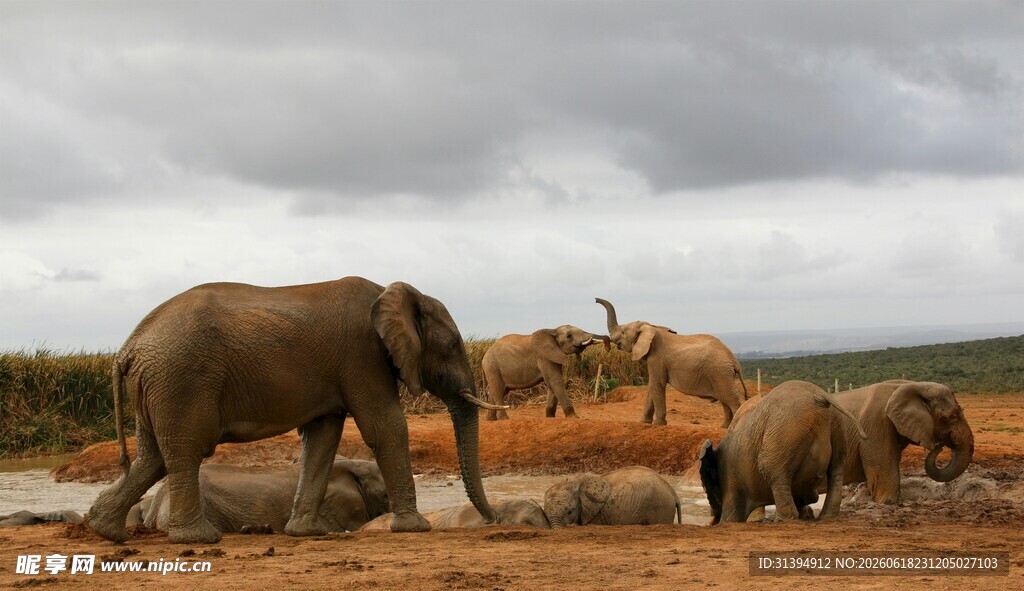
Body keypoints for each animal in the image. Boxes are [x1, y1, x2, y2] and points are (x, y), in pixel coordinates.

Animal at [543, 466, 682, 527]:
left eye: (570, 512)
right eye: (545, 514)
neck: (575, 481)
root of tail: (673, 492)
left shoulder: (596, 513)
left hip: (660, 507)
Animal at [596, 298, 748, 427]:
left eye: (623, 332)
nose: (596, 299)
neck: (652, 327)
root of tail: (734, 360)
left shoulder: (657, 358)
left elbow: (657, 384)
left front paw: (658, 424)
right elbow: (652, 386)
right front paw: (644, 422)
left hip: (720, 372)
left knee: (731, 400)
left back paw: (731, 428)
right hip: (721, 373)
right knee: (725, 401)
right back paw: (724, 427)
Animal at [698, 380, 867, 524]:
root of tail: (819, 394)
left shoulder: (730, 480)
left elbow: (731, 517)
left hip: (786, 429)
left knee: (772, 469)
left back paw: (780, 520)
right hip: (836, 424)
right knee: (836, 470)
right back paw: (825, 517)